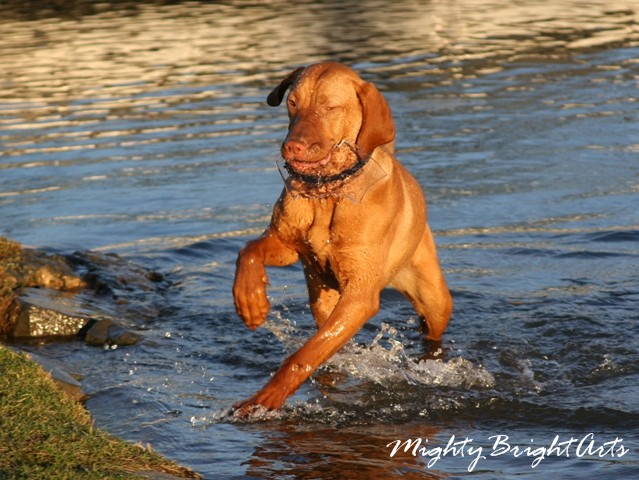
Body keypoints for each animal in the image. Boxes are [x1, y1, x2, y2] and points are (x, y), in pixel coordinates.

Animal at [232, 61, 452, 412]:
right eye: (292, 103)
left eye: (329, 107)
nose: (292, 146)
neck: (329, 192)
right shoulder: (288, 245)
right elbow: (248, 250)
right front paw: (251, 301)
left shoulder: (360, 295)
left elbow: (303, 355)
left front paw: (267, 396)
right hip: (323, 301)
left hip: (432, 298)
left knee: (432, 330)